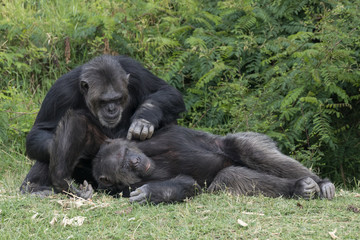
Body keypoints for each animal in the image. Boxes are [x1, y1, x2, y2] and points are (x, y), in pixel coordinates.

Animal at [19, 54, 186, 197]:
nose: (111, 109)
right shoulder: (61, 92)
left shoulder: (135, 70)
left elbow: (167, 91)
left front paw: (143, 119)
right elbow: (39, 131)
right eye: (103, 101)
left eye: (118, 99)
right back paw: (34, 189)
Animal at [47, 110, 334, 202]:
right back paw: (299, 188)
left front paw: (63, 181)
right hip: (225, 176)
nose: (136, 161)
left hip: (249, 139)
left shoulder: (128, 136)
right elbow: (187, 183)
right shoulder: (119, 189)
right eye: (125, 166)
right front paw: (150, 193)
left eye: (128, 153)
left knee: (246, 147)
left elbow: (80, 123)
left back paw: (319, 183)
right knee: (231, 176)